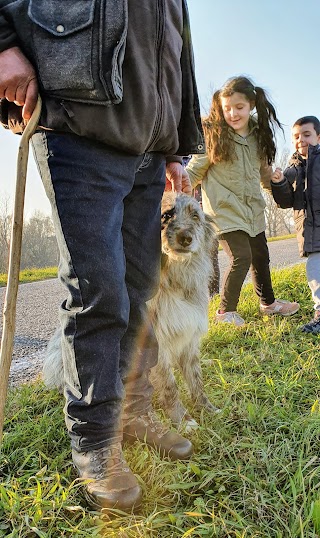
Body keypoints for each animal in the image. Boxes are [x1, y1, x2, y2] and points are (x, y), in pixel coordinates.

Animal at [42, 191, 219, 430]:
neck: (172, 279)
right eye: (166, 215)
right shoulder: (156, 344)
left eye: (195, 216)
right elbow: (170, 385)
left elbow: (196, 380)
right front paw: (182, 419)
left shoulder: (189, 340)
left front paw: (206, 408)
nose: (186, 238)